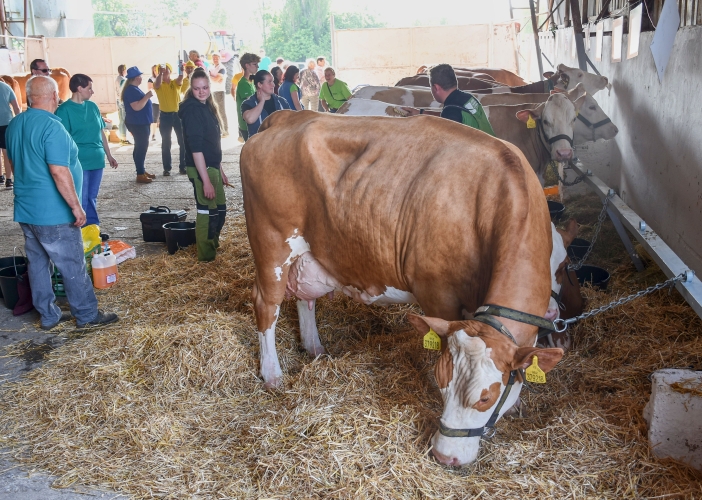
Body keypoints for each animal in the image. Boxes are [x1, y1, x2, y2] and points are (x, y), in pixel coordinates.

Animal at [241, 109, 568, 464]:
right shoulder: (437, 293)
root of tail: (285, 116)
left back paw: (315, 348)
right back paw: (272, 374)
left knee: (305, 298)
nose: (444, 456)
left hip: (310, 255)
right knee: (265, 306)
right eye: (442, 383)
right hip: (272, 248)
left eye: (486, 398)